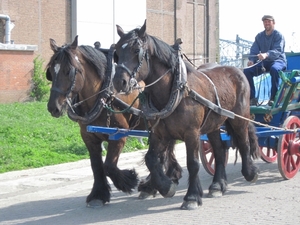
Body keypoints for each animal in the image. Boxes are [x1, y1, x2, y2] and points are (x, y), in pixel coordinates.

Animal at [46, 36, 183, 207]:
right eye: (51, 72)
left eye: (68, 71)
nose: (53, 107)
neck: (104, 95)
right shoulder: (89, 137)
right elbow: (96, 165)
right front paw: (98, 194)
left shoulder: (118, 135)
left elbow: (109, 166)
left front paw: (128, 180)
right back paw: (170, 175)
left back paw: (151, 185)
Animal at [112, 20, 260, 210]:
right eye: (116, 52)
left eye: (137, 50)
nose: (119, 81)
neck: (176, 90)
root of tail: (238, 70)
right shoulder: (160, 134)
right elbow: (151, 158)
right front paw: (166, 186)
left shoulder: (192, 133)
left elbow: (193, 163)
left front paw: (192, 197)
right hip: (213, 124)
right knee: (219, 151)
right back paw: (217, 185)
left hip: (239, 117)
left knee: (244, 141)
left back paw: (250, 173)